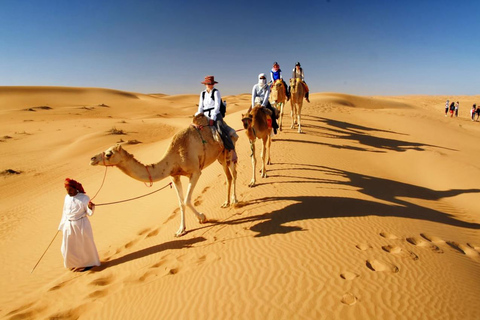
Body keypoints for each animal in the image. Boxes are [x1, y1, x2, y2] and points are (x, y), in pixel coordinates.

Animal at [89, 114, 238, 236]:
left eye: (109, 154)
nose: (92, 159)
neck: (175, 156)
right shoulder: (175, 176)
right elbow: (180, 203)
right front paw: (181, 230)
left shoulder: (195, 172)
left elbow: (187, 200)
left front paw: (202, 217)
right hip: (219, 156)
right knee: (229, 175)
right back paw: (228, 202)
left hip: (227, 151)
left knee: (232, 174)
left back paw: (234, 201)